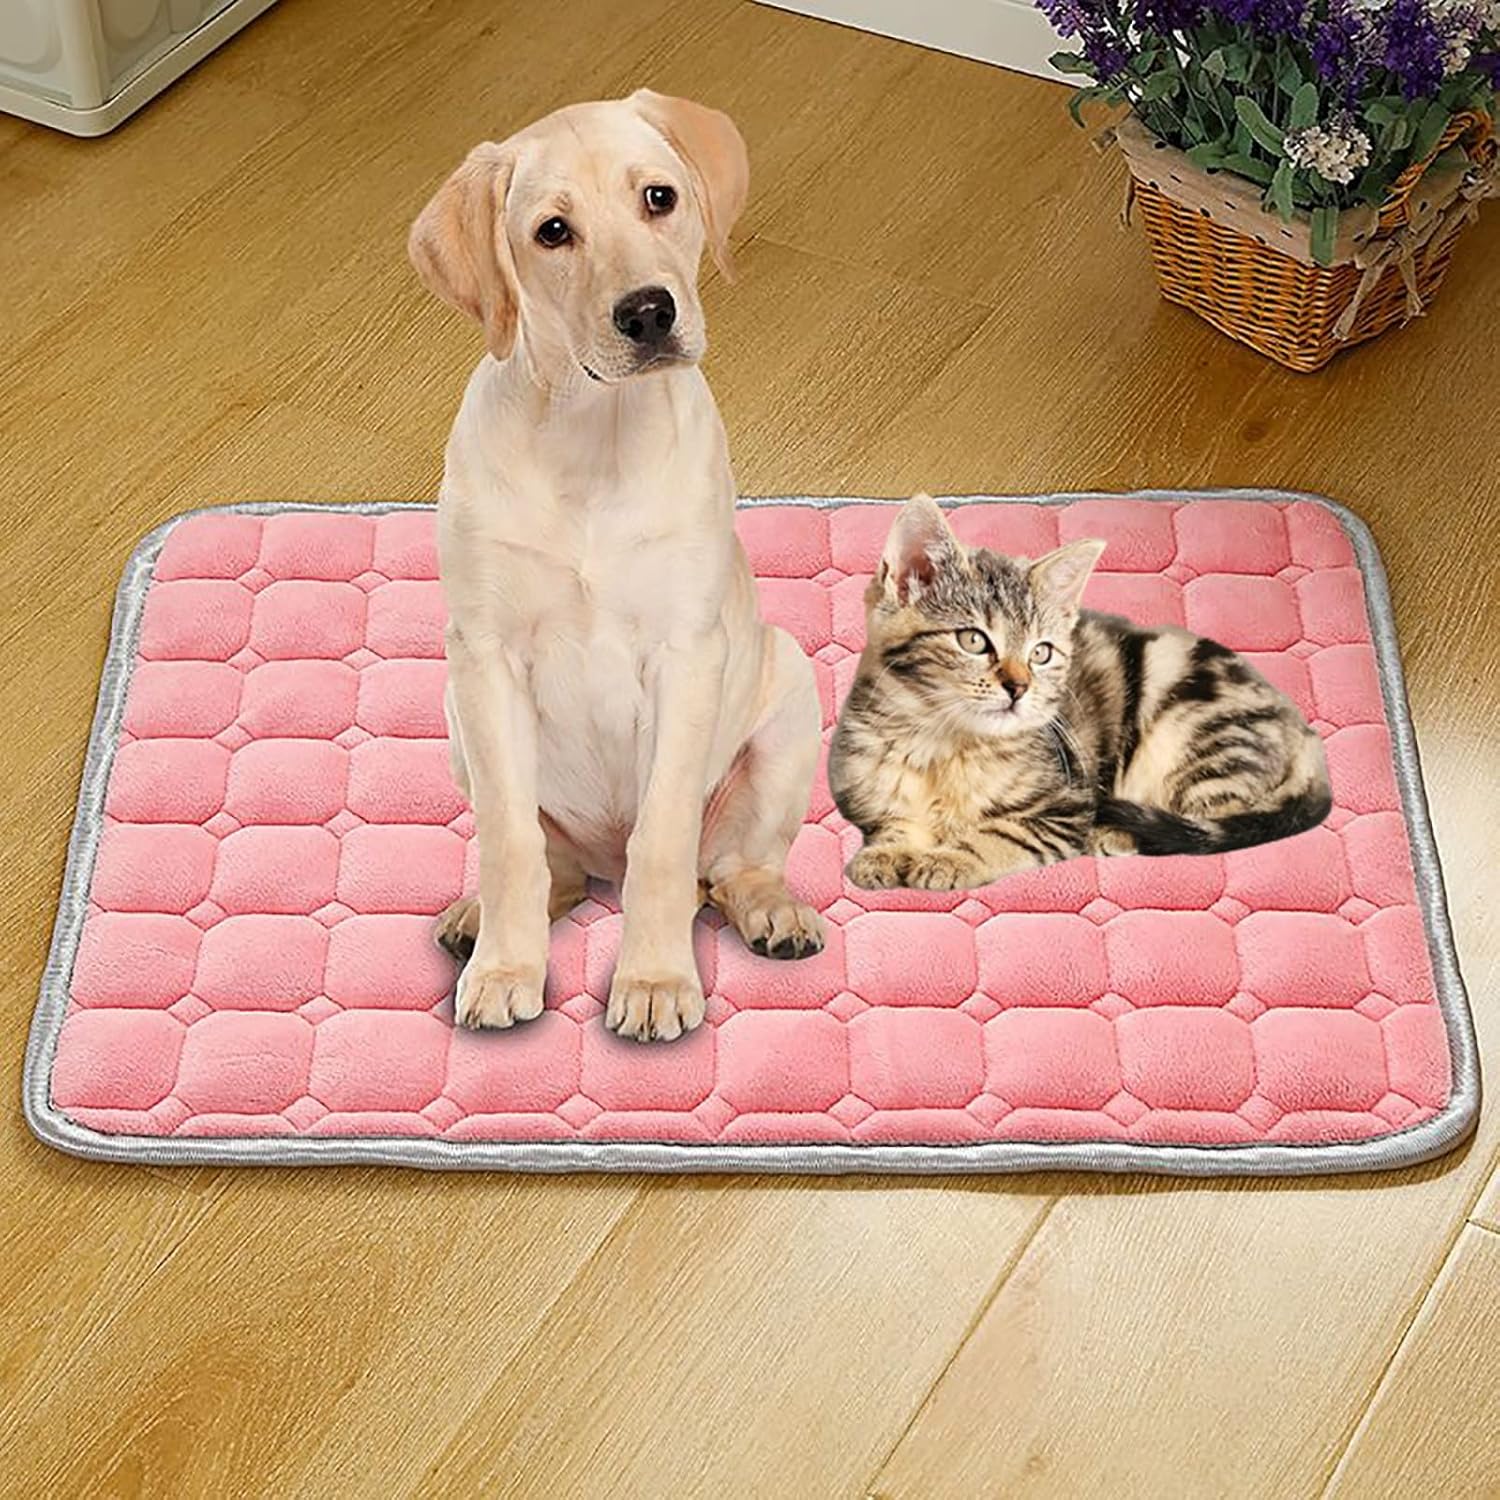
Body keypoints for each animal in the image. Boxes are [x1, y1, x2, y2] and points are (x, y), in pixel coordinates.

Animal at [408, 91, 825, 1042]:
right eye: (553, 232)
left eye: (659, 198)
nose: (647, 314)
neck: (595, 438)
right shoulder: (484, 658)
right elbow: (510, 840)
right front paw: (506, 970)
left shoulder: (686, 655)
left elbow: (663, 841)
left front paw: (656, 982)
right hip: (454, 716)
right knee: (550, 861)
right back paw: (480, 922)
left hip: (787, 704)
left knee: (729, 867)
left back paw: (772, 912)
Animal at [828, 495, 1333, 890]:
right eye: (973, 640)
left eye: (1041, 653)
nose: (1018, 687)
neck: (943, 746)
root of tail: (1301, 729)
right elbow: (893, 821)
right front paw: (888, 851)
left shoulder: (1063, 807)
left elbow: (1000, 835)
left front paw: (949, 858)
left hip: (1198, 734)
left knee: (1216, 816)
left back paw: (1117, 834)